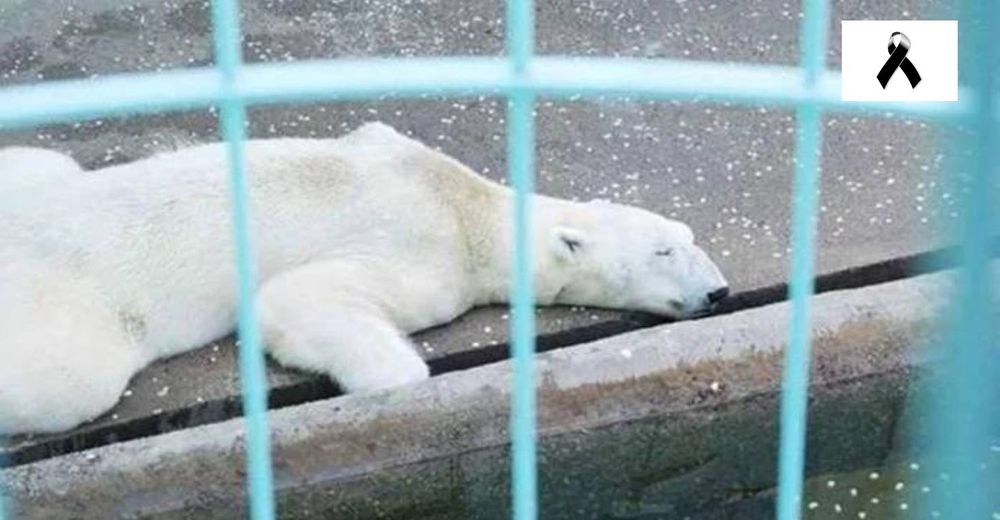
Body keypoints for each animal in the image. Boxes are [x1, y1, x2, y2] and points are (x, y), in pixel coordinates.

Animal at [0, 123, 728, 434]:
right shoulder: (430, 253)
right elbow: (293, 299)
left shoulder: (381, 141)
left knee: (38, 159)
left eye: (690, 239)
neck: (470, 208)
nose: (719, 290)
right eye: (665, 252)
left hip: (38, 182)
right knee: (70, 378)